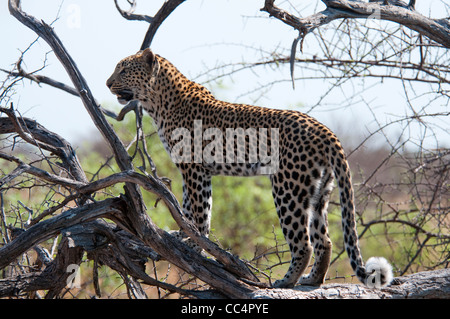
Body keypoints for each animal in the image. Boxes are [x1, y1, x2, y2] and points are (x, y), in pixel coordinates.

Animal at [106, 48, 394, 290]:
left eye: (124, 69)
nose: (108, 83)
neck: (158, 101)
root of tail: (324, 130)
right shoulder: (196, 172)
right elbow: (189, 208)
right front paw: (182, 238)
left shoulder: (194, 168)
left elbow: (198, 212)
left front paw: (193, 244)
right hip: (319, 191)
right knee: (324, 240)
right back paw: (312, 280)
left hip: (287, 188)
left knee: (304, 242)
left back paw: (285, 282)